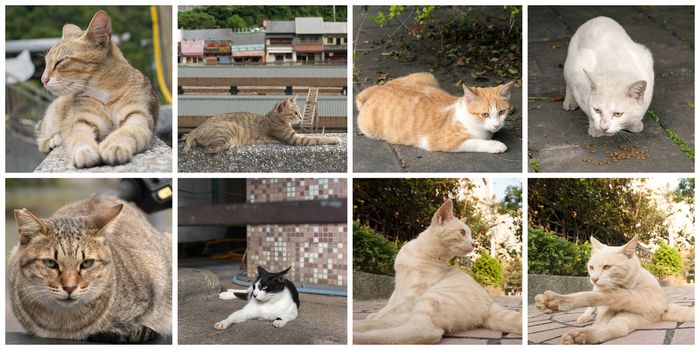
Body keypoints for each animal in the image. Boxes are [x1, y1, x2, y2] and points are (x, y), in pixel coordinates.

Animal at [36, 10, 159, 169]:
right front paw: (84, 149)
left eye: (60, 62)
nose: (43, 79)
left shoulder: (138, 118)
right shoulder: (83, 123)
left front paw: (114, 144)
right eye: (46, 63)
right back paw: (53, 140)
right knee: (42, 140)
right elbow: (79, 136)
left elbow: (126, 132)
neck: (104, 92)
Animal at [182, 95, 340, 154]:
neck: (273, 117)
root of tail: (196, 130)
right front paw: (335, 138)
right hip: (228, 132)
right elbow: (317, 138)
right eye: (295, 113)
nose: (301, 117)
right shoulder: (295, 138)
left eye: (300, 111)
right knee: (208, 149)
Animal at [352, 200, 524, 344]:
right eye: (462, 232)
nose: (474, 244)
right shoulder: (399, 286)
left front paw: (377, 315)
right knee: (401, 322)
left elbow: (393, 308)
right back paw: (364, 324)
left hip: (433, 296)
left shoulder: (416, 291)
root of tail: (490, 303)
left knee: (425, 331)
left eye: (470, 234)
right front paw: (377, 313)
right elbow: (391, 304)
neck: (421, 254)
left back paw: (359, 333)